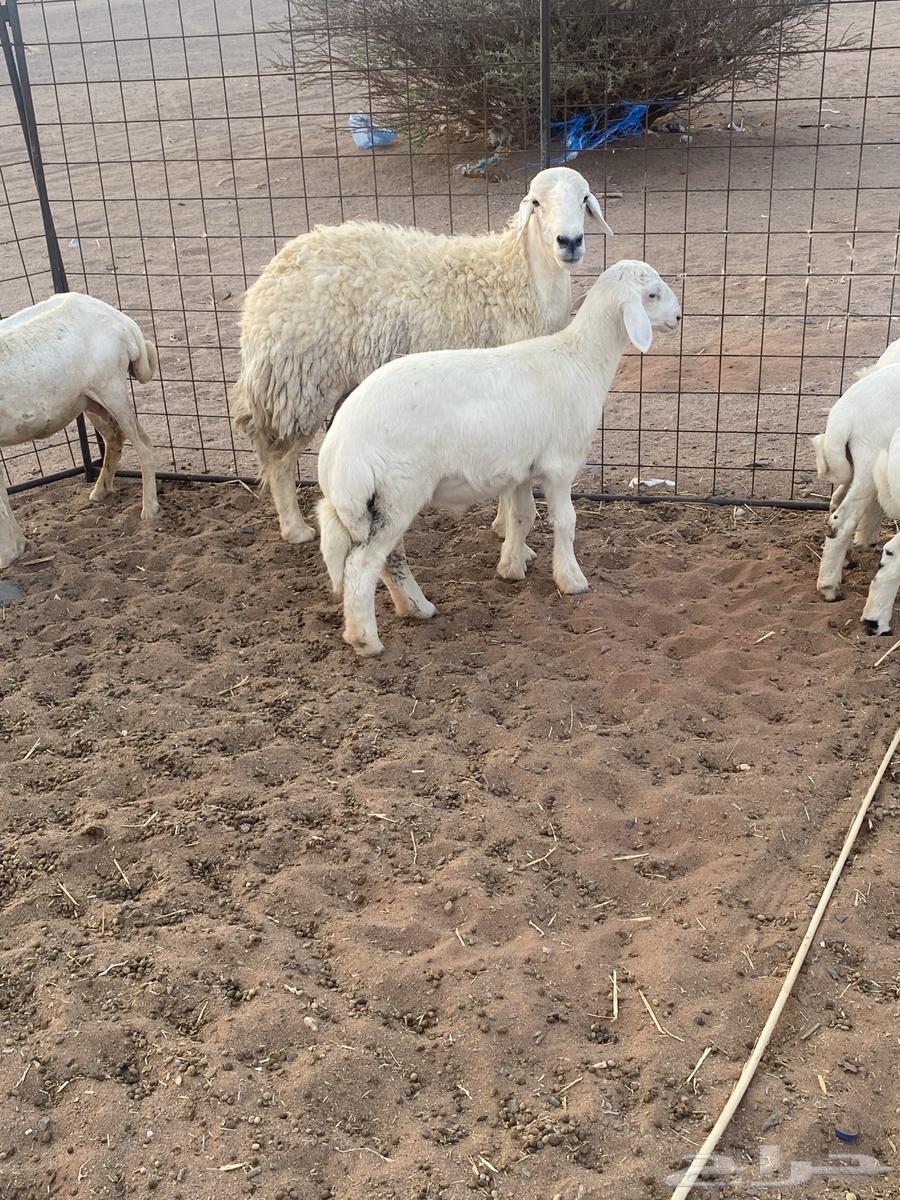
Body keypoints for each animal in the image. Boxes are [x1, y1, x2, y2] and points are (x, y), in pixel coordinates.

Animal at [0, 292, 159, 569]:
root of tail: (124, 321)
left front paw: (9, 554)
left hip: (110, 386)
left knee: (143, 443)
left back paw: (149, 510)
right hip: (88, 400)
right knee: (114, 437)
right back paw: (99, 491)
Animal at [231, 166, 614, 547]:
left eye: (584, 198)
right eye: (536, 202)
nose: (570, 242)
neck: (518, 278)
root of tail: (272, 272)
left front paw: (502, 525)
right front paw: (508, 528)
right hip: (299, 382)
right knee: (279, 459)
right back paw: (295, 528)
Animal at [316, 259, 681, 657]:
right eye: (652, 294)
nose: (679, 317)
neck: (581, 360)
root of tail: (337, 447)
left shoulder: (522, 468)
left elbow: (523, 517)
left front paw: (511, 567)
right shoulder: (560, 465)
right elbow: (565, 521)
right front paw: (571, 579)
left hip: (380, 500)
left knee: (388, 559)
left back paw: (416, 608)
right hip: (395, 491)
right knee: (362, 566)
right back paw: (366, 639)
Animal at [810, 362, 900, 604]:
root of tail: (845, 414)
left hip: (855, 465)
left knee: (836, 503)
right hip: (870, 459)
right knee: (843, 520)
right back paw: (829, 587)